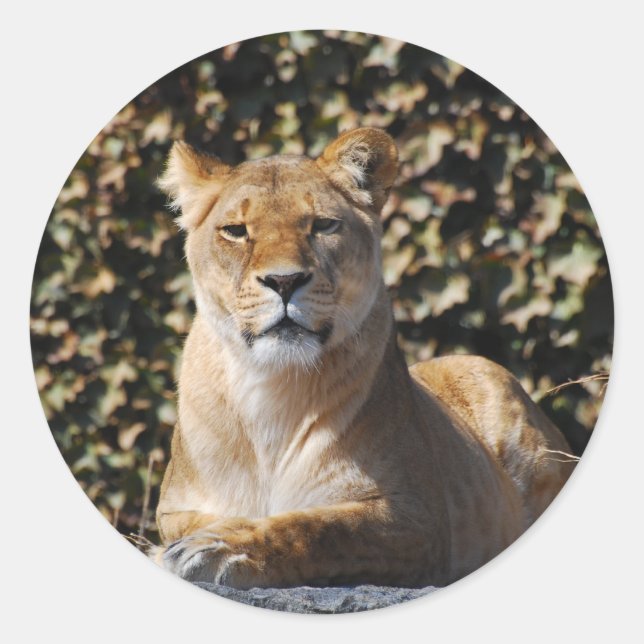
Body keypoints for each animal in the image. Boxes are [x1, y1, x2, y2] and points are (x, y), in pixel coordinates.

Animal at [151, 127, 575, 590]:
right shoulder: (173, 508)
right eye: (235, 231)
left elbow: (317, 528)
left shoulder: (417, 520)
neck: (274, 385)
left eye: (322, 225)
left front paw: (221, 549)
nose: (284, 281)